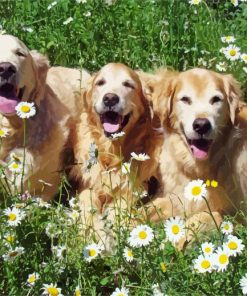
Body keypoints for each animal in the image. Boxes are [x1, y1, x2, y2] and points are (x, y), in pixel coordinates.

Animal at [70, 62, 161, 232]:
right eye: (100, 83)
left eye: (128, 85)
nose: (110, 98)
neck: (111, 153)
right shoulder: (87, 186)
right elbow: (87, 207)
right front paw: (88, 231)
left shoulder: (131, 191)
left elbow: (116, 212)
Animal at [141, 69, 247, 240]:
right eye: (185, 99)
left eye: (216, 99)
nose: (201, 125)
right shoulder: (177, 198)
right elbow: (146, 209)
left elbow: (209, 216)